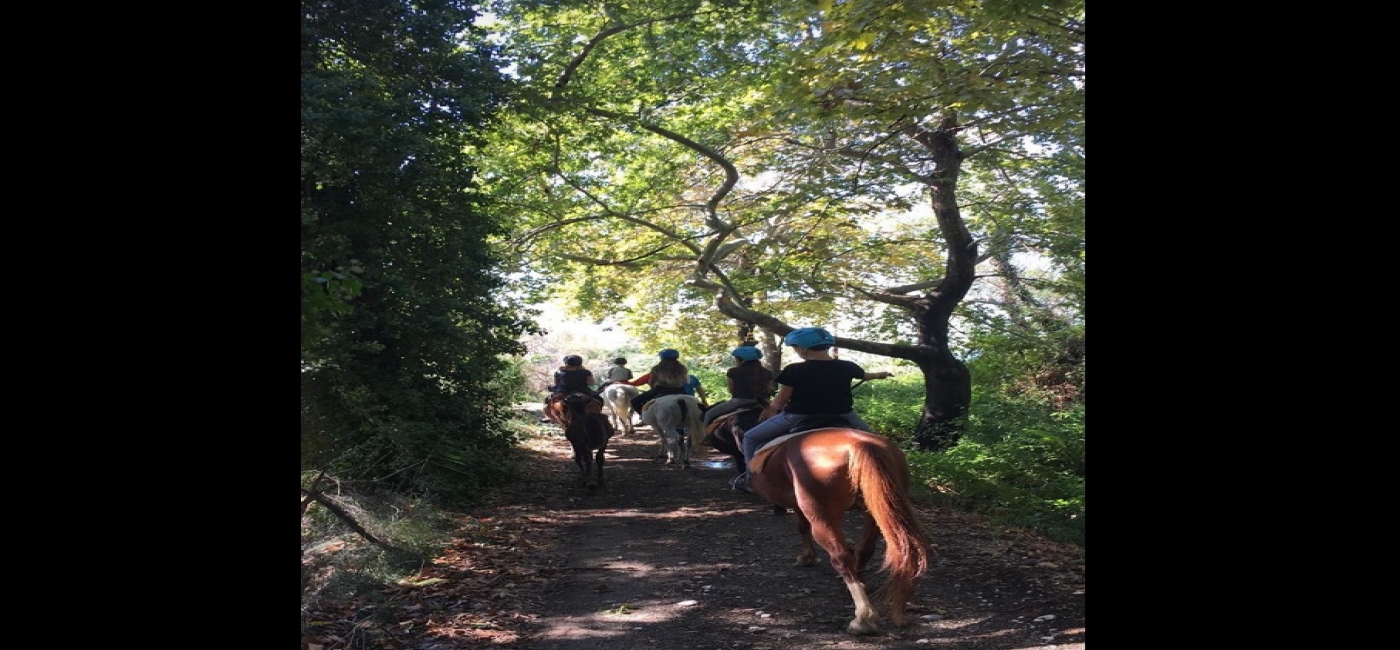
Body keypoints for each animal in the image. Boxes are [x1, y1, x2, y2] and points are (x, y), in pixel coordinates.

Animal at [750, 425, 935, 635]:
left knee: (841, 556)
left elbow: (802, 526)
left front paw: (807, 557)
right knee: (864, 549)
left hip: (823, 518)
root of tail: (860, 444)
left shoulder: (801, 506)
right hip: (875, 509)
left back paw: (863, 617)